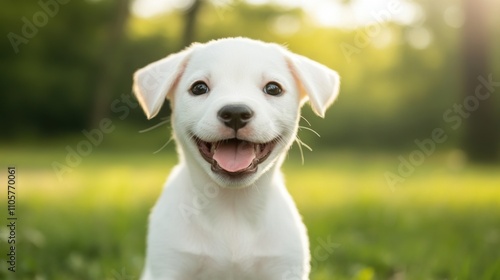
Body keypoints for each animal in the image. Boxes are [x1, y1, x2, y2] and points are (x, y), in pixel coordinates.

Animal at [133, 37, 340, 280]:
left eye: (273, 88)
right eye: (199, 87)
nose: (235, 113)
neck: (232, 208)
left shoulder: (285, 267)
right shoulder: (169, 265)